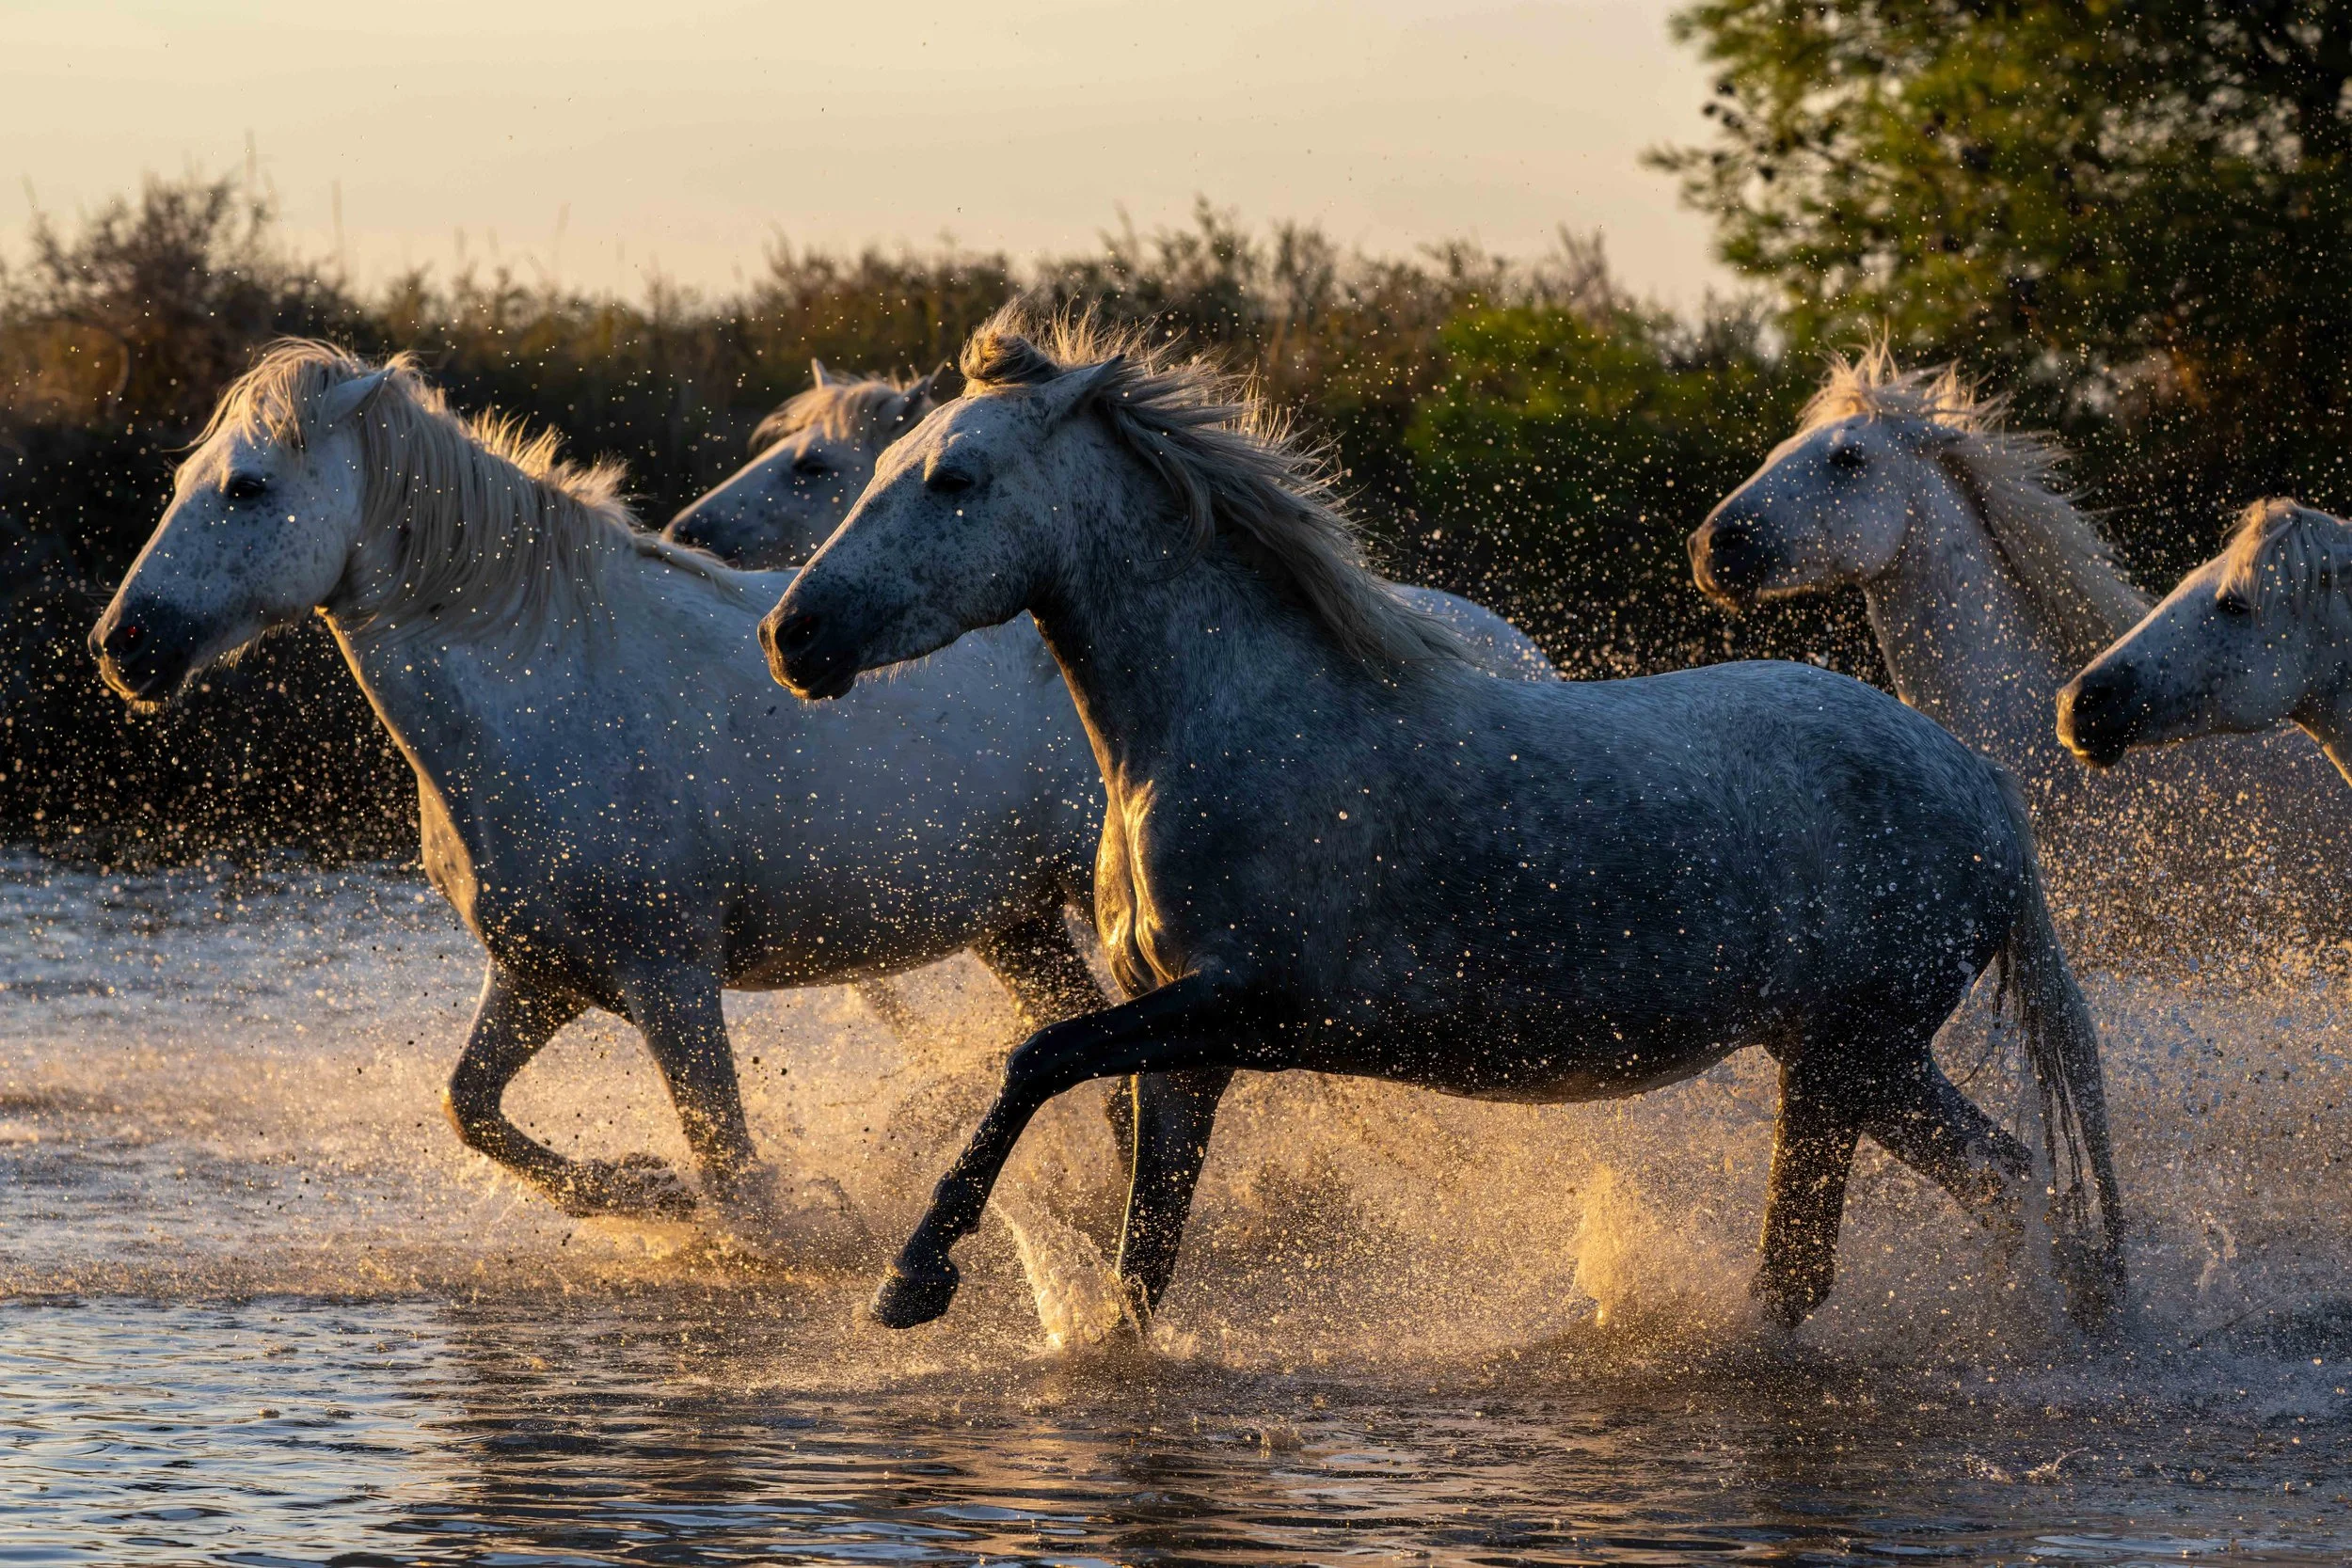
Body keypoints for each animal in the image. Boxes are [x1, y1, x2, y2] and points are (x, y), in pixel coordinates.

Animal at [88, 340, 1113, 1237]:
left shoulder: (672, 978)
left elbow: (737, 1177)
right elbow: (469, 1106)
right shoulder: (541, 974)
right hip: (1015, 925)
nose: (121, 642)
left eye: (246, 485)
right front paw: (643, 1190)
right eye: (183, 482)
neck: (549, 690)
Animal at [758, 307, 2125, 1337]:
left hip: (1854, 1052)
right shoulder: (1187, 1046)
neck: (1229, 721)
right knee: (1975, 1193)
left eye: (954, 479)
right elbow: (1139, 1270)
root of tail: (1979, 781)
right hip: (1846, 1058)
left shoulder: (1248, 1003)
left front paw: (911, 1279)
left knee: (1874, 1237)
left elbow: (1031, 1059)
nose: (791, 635)